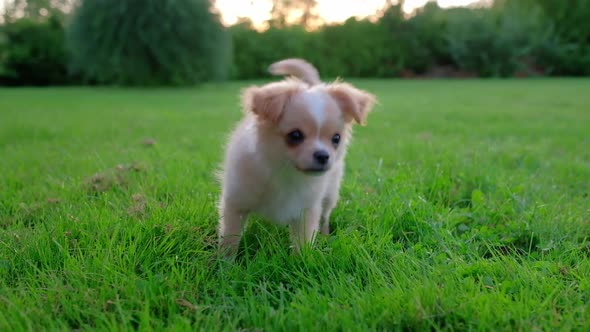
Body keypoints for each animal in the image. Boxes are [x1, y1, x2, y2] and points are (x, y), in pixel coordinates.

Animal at [220, 58, 376, 255]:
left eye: (336, 138)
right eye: (295, 135)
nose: (323, 156)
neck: (284, 172)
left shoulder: (307, 210)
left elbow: (303, 242)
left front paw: (301, 260)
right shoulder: (236, 202)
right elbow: (230, 238)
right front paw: (225, 261)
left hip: (330, 193)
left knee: (325, 215)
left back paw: (325, 234)